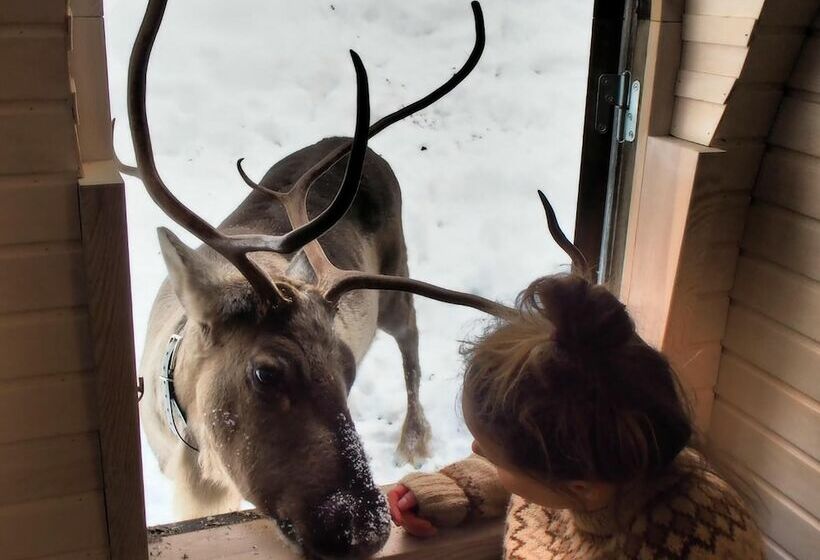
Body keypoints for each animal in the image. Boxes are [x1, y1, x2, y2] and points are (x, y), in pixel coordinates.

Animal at [126, 1, 586, 558]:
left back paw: (414, 437)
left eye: (347, 369)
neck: (196, 458)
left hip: (396, 277)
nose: (364, 529)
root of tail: (358, 147)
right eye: (266, 373)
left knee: (412, 344)